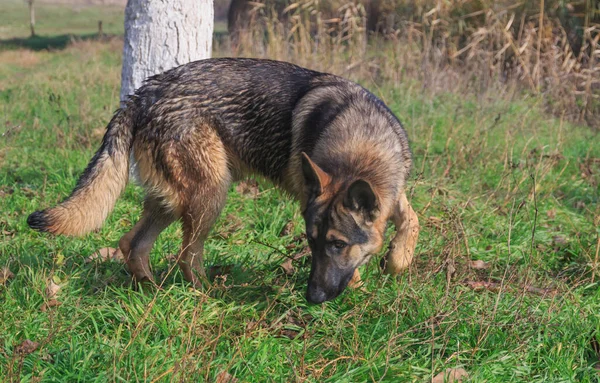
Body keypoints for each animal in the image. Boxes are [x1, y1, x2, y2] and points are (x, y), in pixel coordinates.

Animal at [28, 58, 420, 304]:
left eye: (337, 244)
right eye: (311, 242)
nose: (313, 297)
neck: (361, 142)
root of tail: (142, 94)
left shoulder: (394, 192)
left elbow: (411, 220)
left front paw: (396, 260)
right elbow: (358, 267)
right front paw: (362, 290)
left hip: (172, 202)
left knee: (132, 243)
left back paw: (151, 291)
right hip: (210, 195)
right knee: (186, 256)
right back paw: (207, 295)